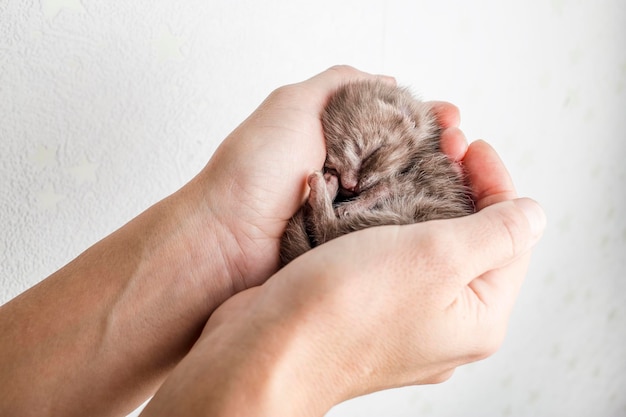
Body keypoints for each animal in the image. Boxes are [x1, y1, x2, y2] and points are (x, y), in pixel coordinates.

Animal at [278, 79, 472, 264]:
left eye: (371, 153)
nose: (349, 185)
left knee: (329, 232)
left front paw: (353, 205)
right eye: (333, 167)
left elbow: (383, 188)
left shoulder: (426, 179)